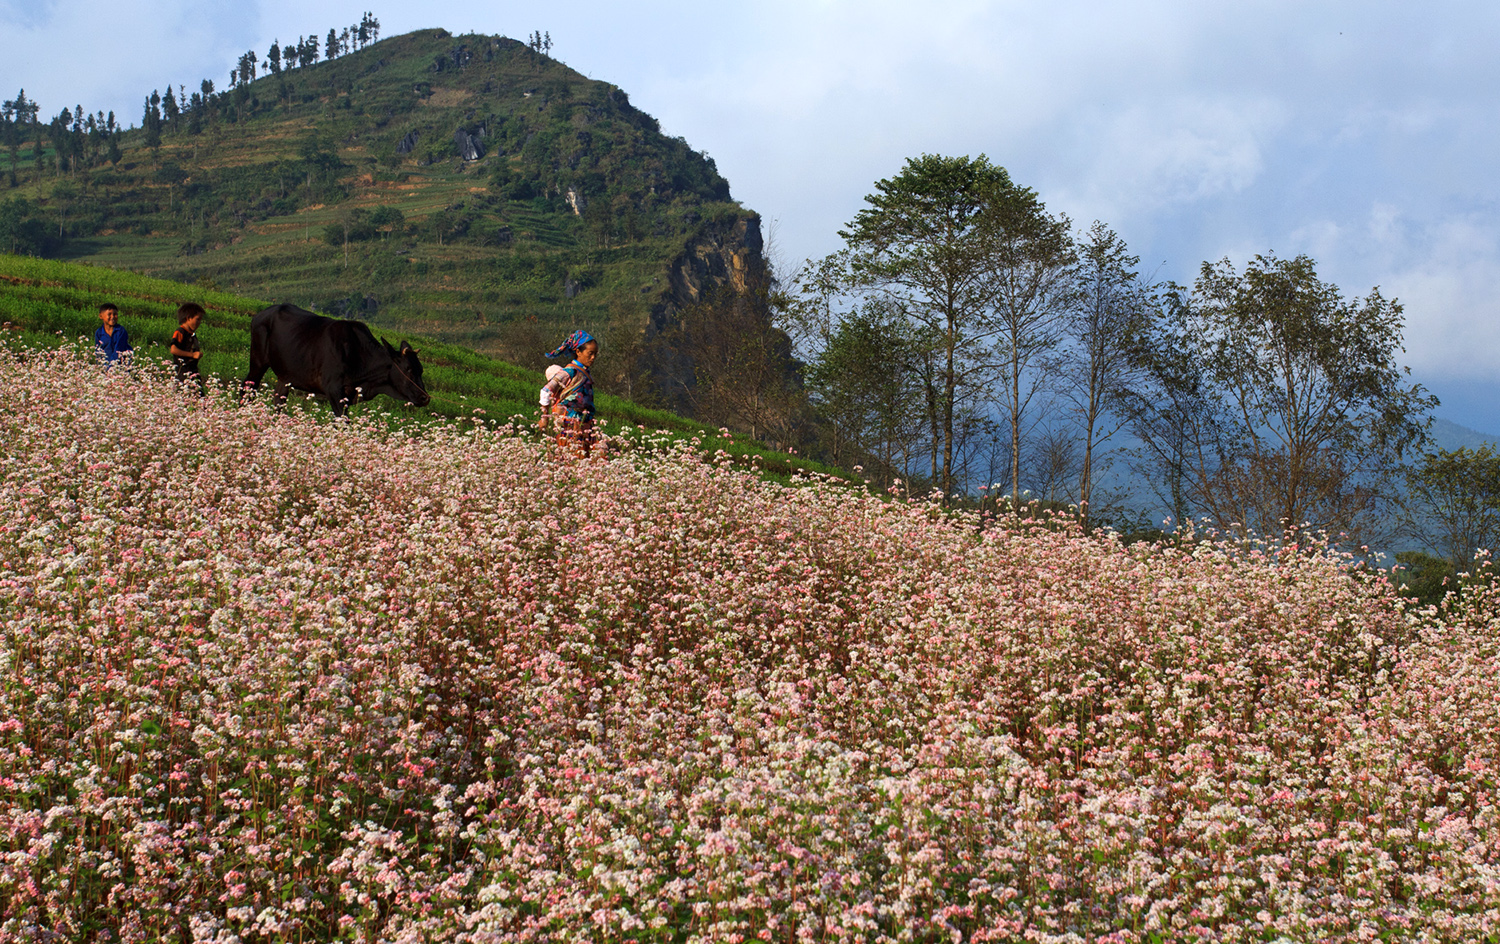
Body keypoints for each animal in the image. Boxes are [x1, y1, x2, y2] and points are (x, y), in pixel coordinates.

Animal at [240, 303, 429, 414]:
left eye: (421, 370)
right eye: (408, 369)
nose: (425, 398)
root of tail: (259, 315)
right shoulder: (333, 390)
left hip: (285, 377)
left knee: (278, 400)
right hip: (257, 363)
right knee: (247, 389)